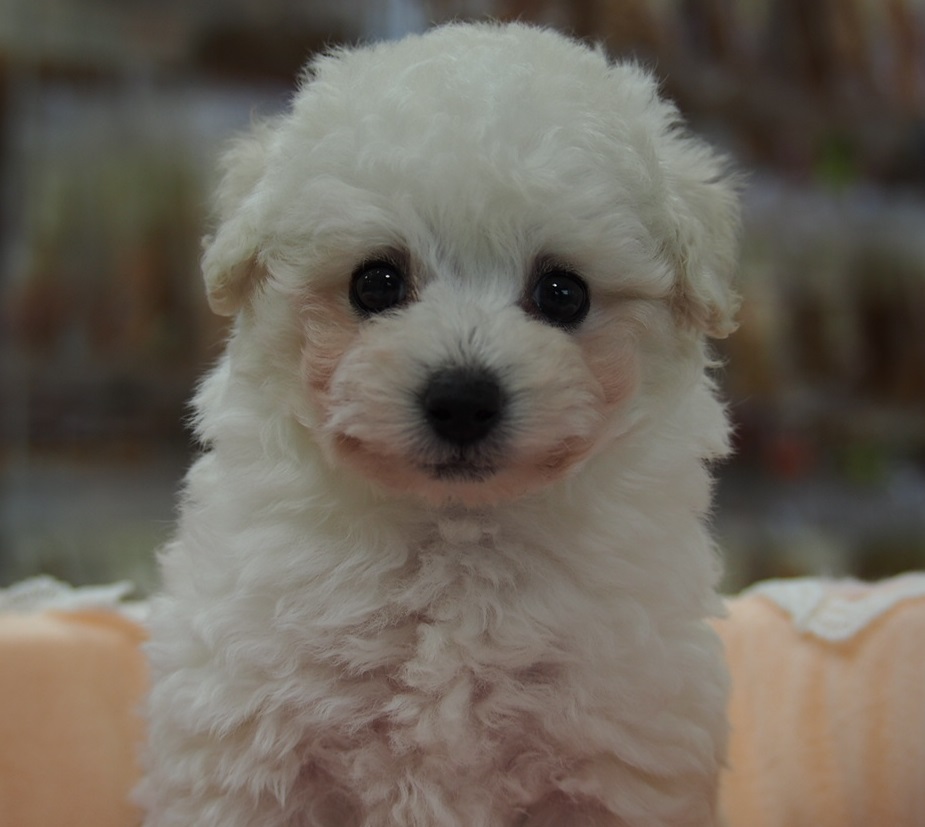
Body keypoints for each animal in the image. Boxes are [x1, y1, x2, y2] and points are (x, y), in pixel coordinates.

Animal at [140, 21, 739, 827]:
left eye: (563, 293)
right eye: (375, 283)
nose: (462, 398)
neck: (454, 540)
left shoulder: (614, 755)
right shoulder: (247, 741)